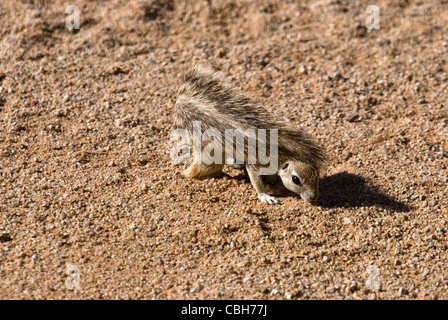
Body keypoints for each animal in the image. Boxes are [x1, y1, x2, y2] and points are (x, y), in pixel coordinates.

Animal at [173, 65, 328, 205]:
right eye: (296, 179)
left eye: (317, 174)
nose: (314, 198)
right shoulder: (256, 162)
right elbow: (256, 180)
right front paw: (265, 196)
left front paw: (271, 177)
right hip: (212, 156)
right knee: (198, 169)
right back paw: (189, 174)